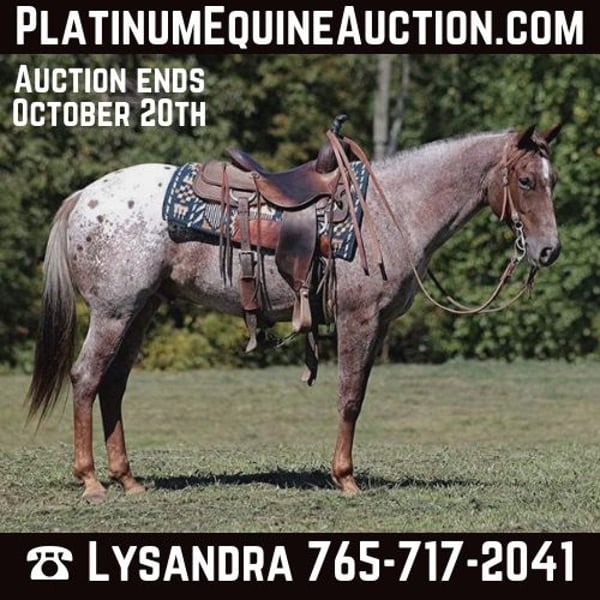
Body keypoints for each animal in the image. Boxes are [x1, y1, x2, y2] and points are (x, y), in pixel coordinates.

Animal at [26, 124, 561, 502]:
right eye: (527, 180)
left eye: (552, 180)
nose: (549, 250)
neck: (391, 212)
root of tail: (83, 197)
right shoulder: (358, 320)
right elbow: (350, 397)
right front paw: (345, 479)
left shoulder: (377, 325)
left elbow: (356, 395)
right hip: (114, 311)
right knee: (87, 378)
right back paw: (92, 481)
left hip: (140, 311)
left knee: (113, 385)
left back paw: (128, 480)